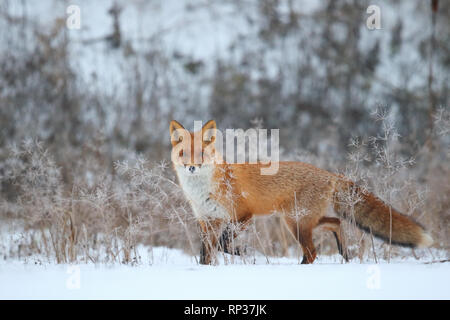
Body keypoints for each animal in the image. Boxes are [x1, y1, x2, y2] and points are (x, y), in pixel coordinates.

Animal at [169, 119, 432, 264]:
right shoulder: (207, 221)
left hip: (296, 223)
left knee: (314, 252)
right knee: (335, 223)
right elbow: (205, 254)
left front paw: (240, 252)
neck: (204, 190)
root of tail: (329, 174)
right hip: (302, 221)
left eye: (201, 154)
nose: (191, 167)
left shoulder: (243, 215)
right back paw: (344, 255)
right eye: (183, 153)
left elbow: (222, 245)